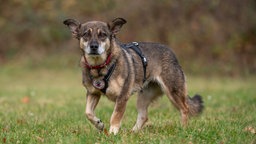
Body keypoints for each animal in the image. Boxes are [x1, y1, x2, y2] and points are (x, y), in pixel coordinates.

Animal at [63, 17, 203, 134]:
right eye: (85, 34)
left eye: (103, 35)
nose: (93, 46)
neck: (100, 67)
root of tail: (172, 53)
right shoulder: (93, 93)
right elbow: (88, 113)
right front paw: (99, 124)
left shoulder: (122, 97)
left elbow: (115, 115)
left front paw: (113, 132)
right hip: (144, 96)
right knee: (144, 116)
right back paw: (133, 132)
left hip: (173, 91)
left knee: (185, 109)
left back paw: (183, 129)